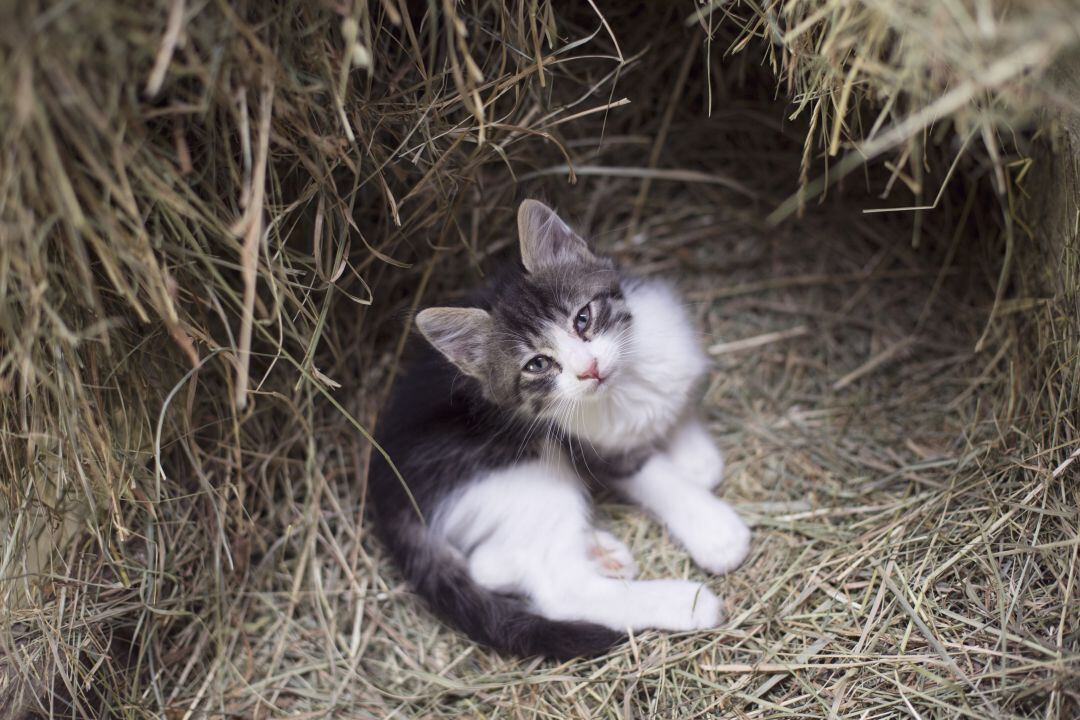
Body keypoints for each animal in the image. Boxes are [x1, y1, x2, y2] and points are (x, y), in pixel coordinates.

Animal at [371, 198, 751, 660]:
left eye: (582, 318)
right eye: (538, 364)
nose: (588, 369)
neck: (626, 384)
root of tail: (387, 495)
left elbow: (677, 409)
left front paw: (694, 455)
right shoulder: (588, 448)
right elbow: (652, 475)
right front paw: (713, 529)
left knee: (487, 564)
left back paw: (602, 552)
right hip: (524, 476)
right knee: (561, 589)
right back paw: (685, 602)